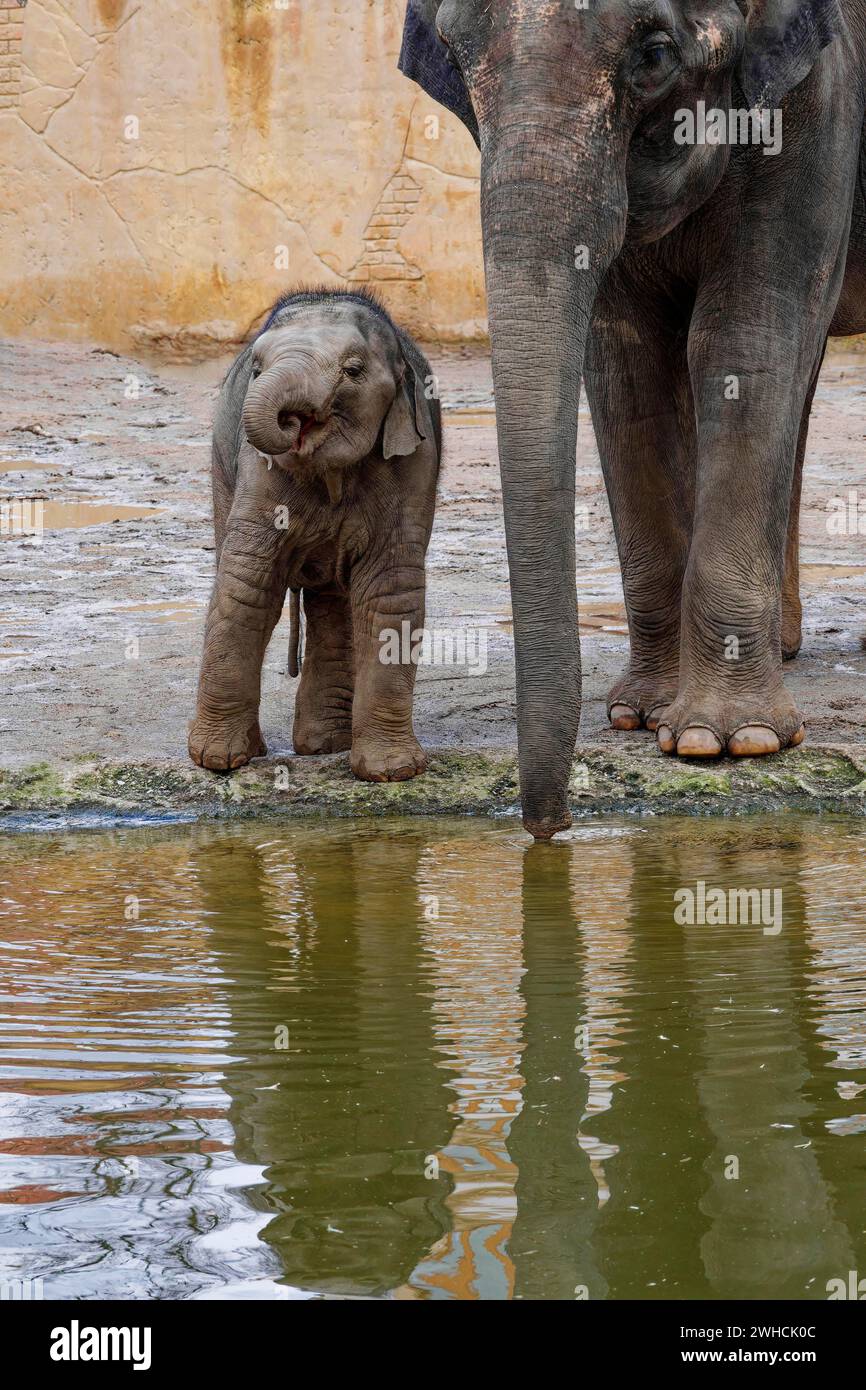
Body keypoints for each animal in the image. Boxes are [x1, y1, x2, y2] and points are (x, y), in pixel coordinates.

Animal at [189, 289, 439, 783]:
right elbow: (247, 582)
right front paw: (217, 761)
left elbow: (389, 592)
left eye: (353, 370)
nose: (290, 419)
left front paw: (392, 772)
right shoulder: (258, 471)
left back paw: (325, 744)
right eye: (257, 370)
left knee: (336, 600)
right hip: (221, 468)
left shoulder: (413, 464)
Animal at [400, 0, 866, 834]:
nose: (549, 827)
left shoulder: (823, 89)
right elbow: (625, 356)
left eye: (653, 55)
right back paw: (780, 647)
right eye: (454, 50)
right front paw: (642, 718)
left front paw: (727, 742)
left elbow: (745, 336)